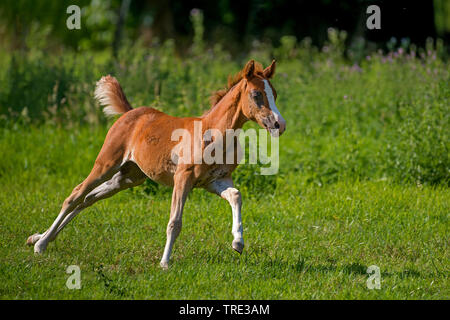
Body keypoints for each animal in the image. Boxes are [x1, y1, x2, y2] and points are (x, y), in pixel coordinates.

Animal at [27, 59, 284, 268]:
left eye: (275, 93)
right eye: (256, 95)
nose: (278, 124)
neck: (214, 133)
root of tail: (130, 113)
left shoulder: (215, 181)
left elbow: (236, 196)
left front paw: (238, 243)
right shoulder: (183, 178)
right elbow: (175, 222)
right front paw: (164, 263)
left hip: (127, 178)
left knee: (88, 198)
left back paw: (39, 238)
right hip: (106, 164)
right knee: (76, 194)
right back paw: (40, 245)